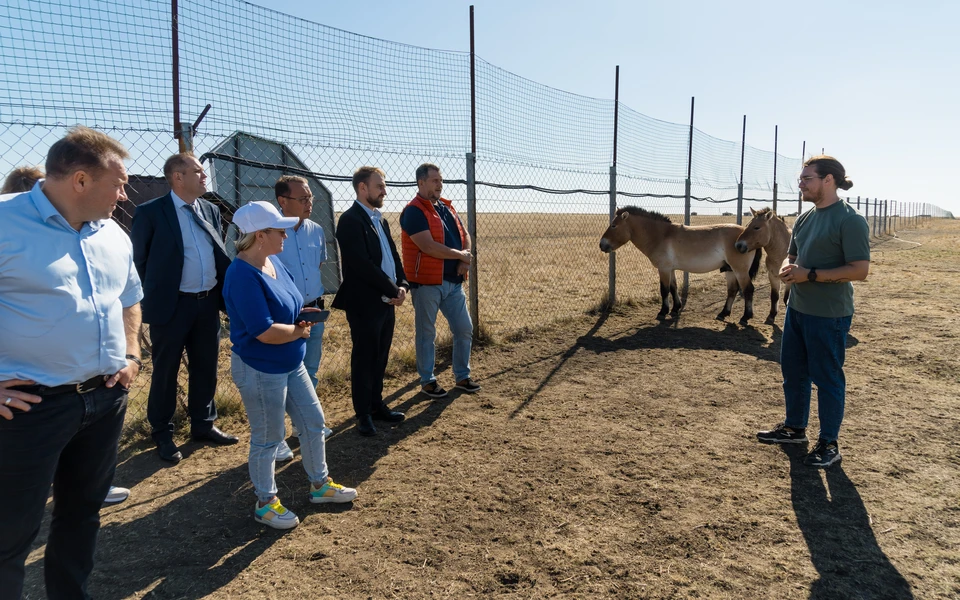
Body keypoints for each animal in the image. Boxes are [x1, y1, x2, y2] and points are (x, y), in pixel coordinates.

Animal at [596, 206, 760, 324]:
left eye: (613, 225)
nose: (601, 245)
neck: (661, 235)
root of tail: (746, 237)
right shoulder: (671, 269)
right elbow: (673, 288)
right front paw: (675, 309)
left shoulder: (663, 269)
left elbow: (664, 290)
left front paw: (663, 311)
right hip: (730, 270)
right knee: (732, 290)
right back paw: (723, 313)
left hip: (740, 270)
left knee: (748, 290)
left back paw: (745, 317)